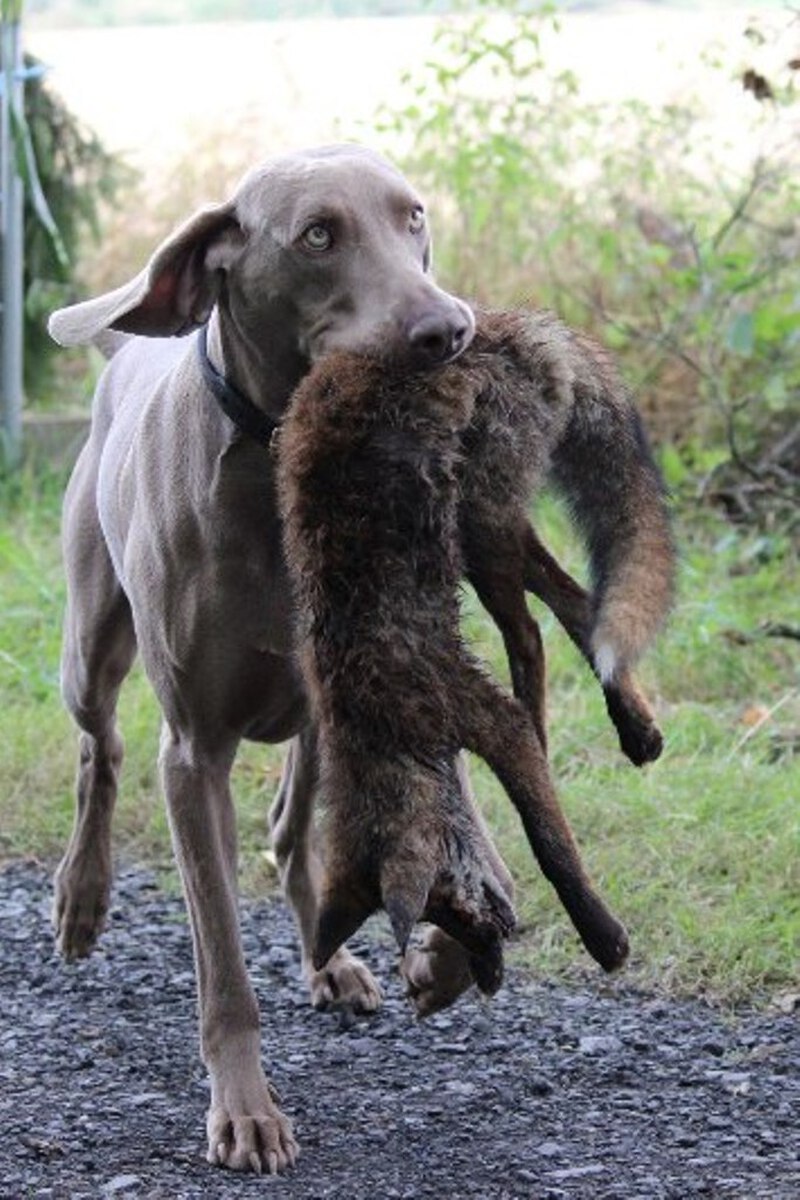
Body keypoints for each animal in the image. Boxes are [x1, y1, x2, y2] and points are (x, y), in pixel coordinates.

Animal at [50, 145, 479, 1176]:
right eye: (317, 235)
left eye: (412, 216)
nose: (450, 331)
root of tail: (128, 351)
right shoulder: (193, 755)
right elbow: (222, 965)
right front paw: (245, 1112)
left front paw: (440, 953)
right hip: (90, 646)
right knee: (99, 748)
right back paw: (82, 899)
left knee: (292, 833)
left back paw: (332, 961)